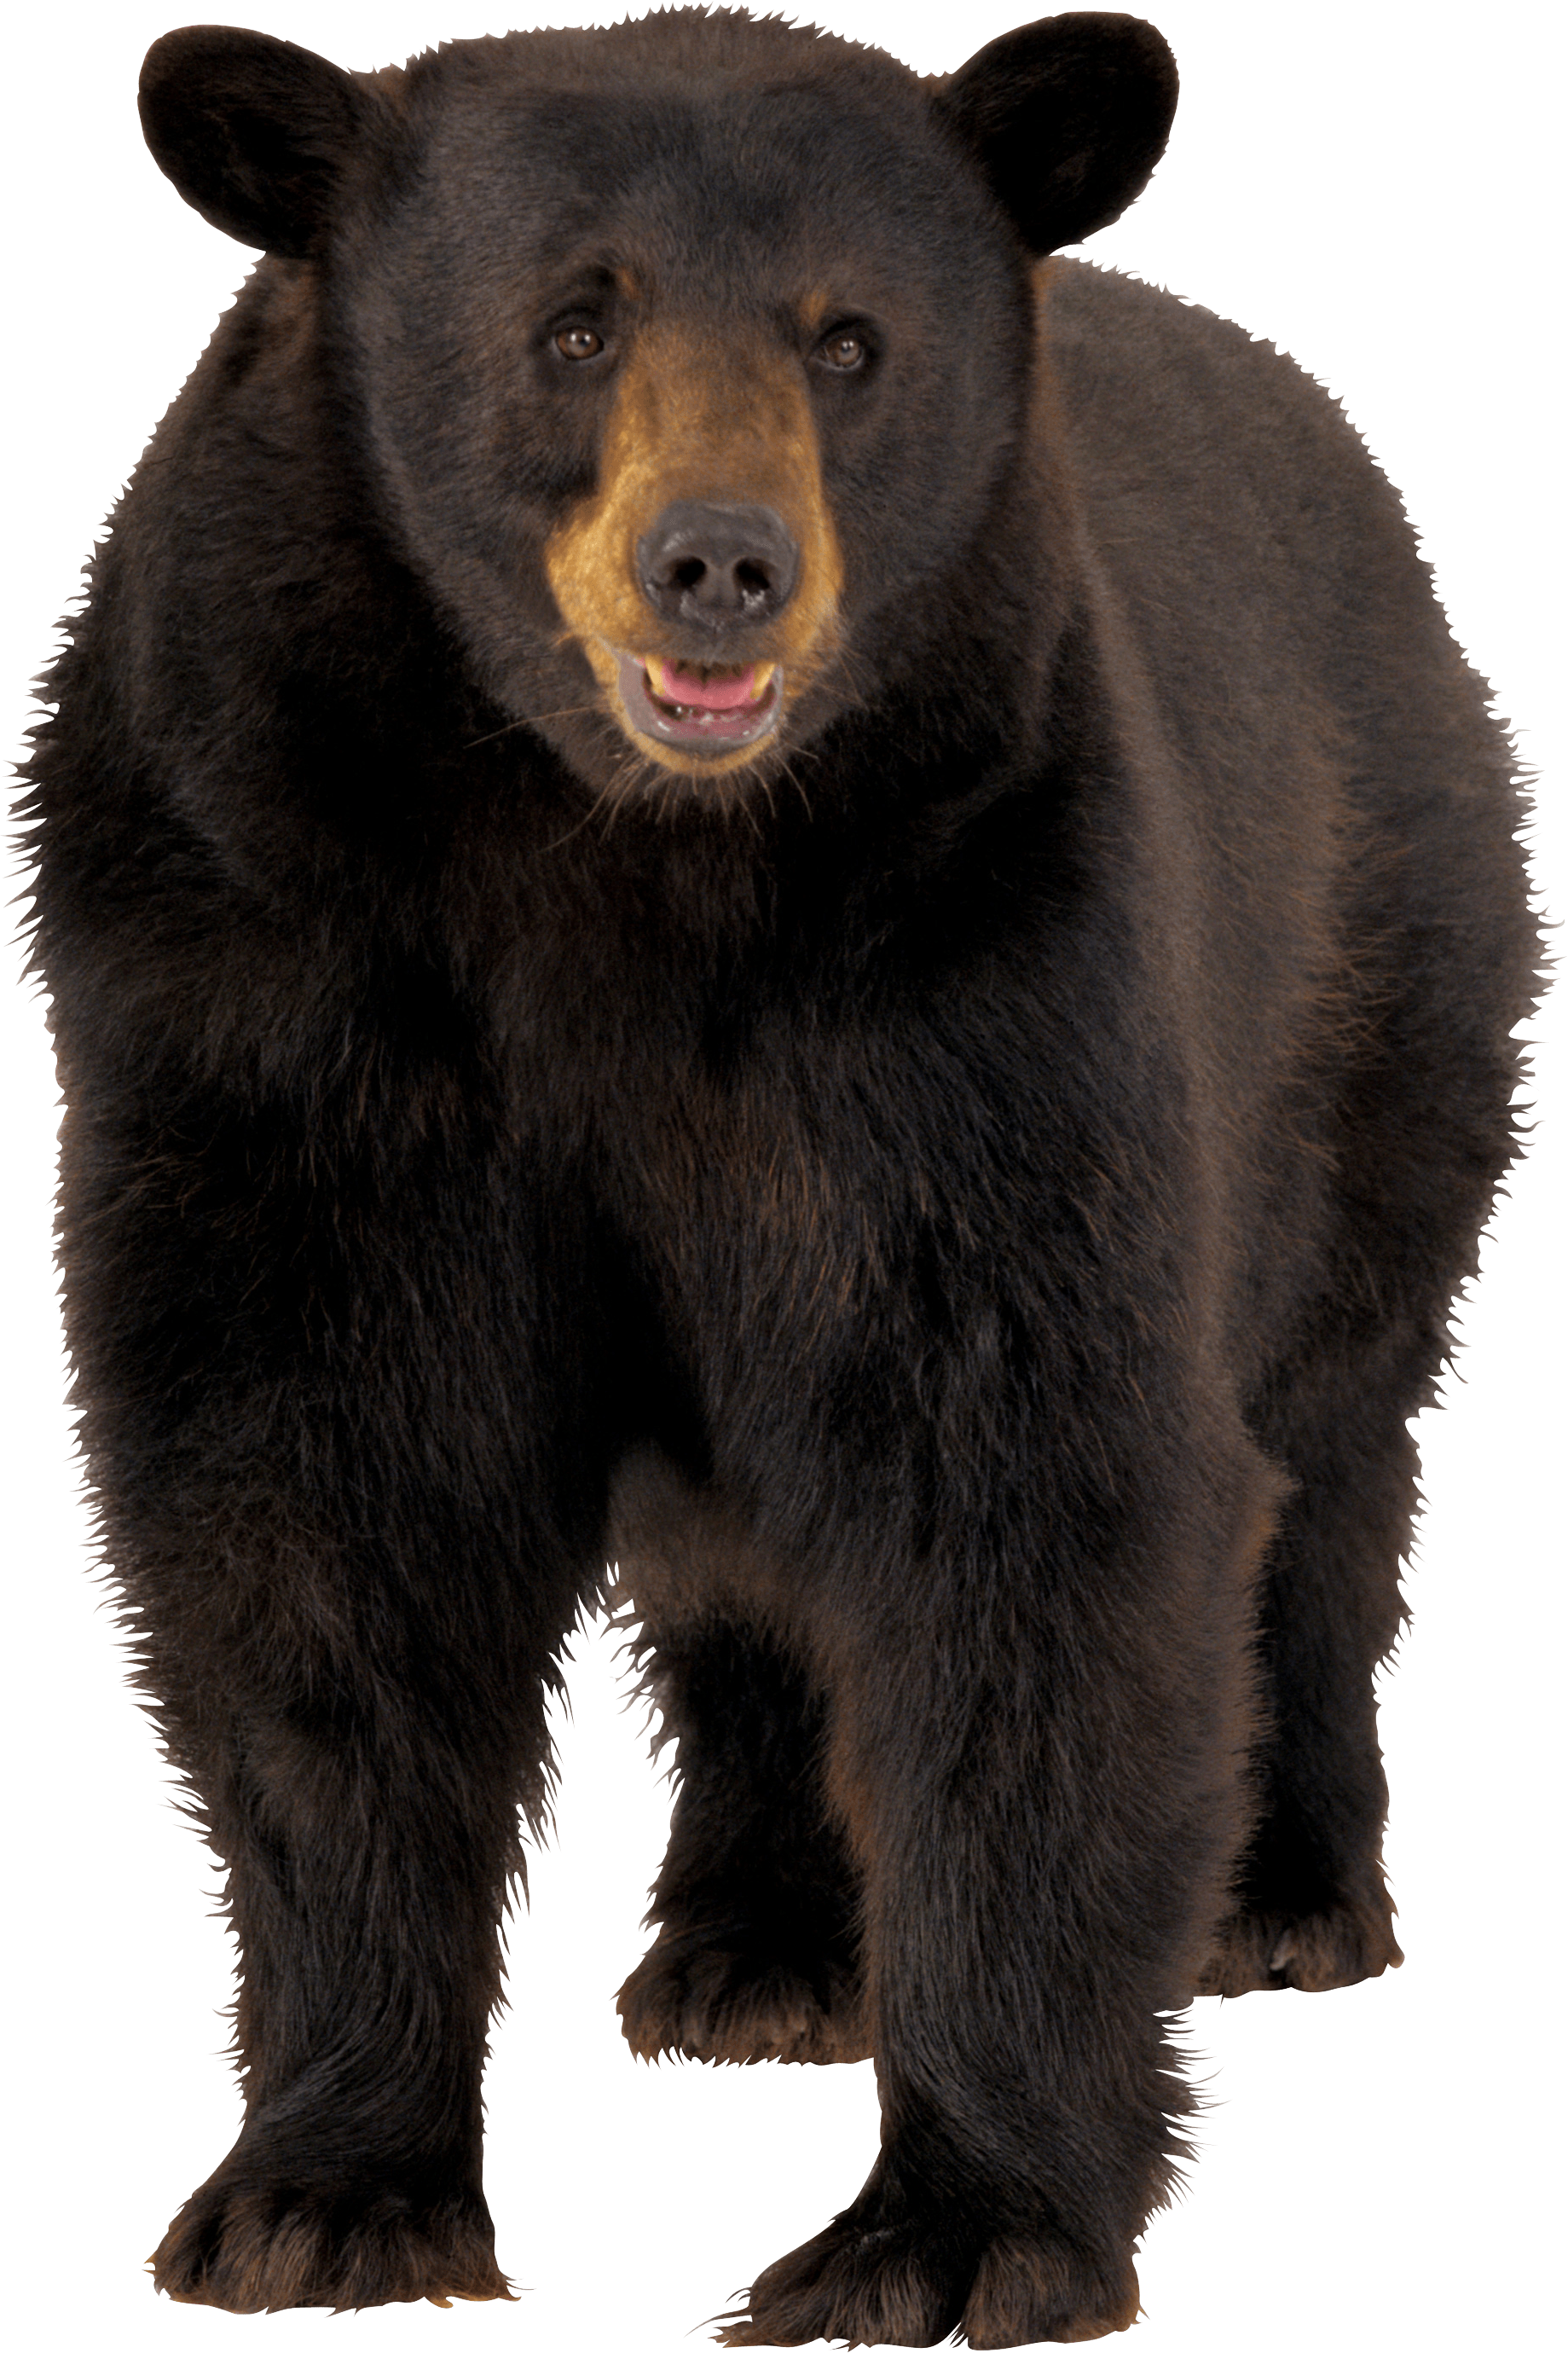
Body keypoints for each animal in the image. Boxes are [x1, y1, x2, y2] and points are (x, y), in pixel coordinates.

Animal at [16, 6, 1539, 2342]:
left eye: (848, 340)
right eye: (570, 322)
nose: (717, 560)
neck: (610, 852)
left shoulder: (977, 941)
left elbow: (1036, 1476)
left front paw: (951, 2227)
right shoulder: (258, 948)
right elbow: (322, 1509)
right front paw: (321, 2191)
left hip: (1375, 974)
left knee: (1326, 1430)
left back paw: (1282, 1886)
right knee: (742, 1558)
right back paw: (757, 1948)